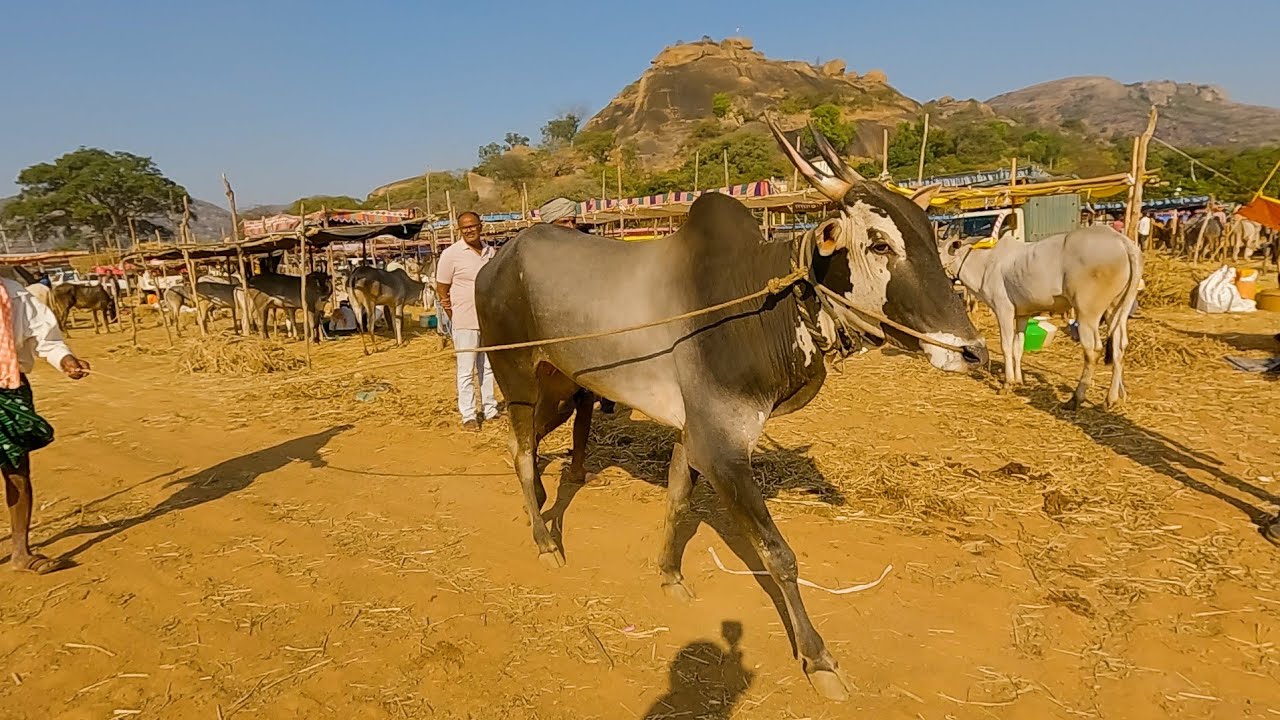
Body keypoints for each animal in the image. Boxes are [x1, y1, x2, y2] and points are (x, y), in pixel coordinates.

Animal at [474, 120, 987, 701]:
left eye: (933, 238)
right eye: (879, 243)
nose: (974, 351)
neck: (765, 303)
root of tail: (498, 258)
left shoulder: (695, 436)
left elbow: (677, 503)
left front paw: (670, 575)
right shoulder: (722, 448)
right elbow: (778, 554)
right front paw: (818, 660)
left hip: (562, 386)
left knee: (532, 448)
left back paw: (540, 504)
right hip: (517, 376)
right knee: (520, 452)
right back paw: (544, 539)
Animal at [938, 225, 1142, 410]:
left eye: (938, 251)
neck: (985, 262)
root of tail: (1121, 241)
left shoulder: (1004, 309)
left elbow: (1006, 346)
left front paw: (1007, 383)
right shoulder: (1022, 314)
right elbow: (1018, 347)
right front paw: (1019, 380)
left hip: (1087, 313)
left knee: (1093, 350)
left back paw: (1076, 399)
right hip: (1114, 308)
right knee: (1119, 346)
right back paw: (1112, 399)